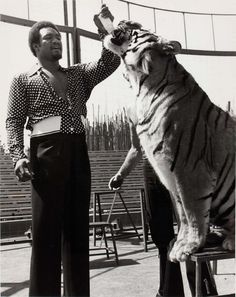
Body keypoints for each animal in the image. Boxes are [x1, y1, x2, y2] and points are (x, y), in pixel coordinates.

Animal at [104, 20, 235, 262]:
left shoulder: (189, 170)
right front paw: (180, 244)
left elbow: (193, 211)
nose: (123, 21)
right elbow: (182, 214)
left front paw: (189, 247)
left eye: (135, 26)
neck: (142, 85)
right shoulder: (169, 174)